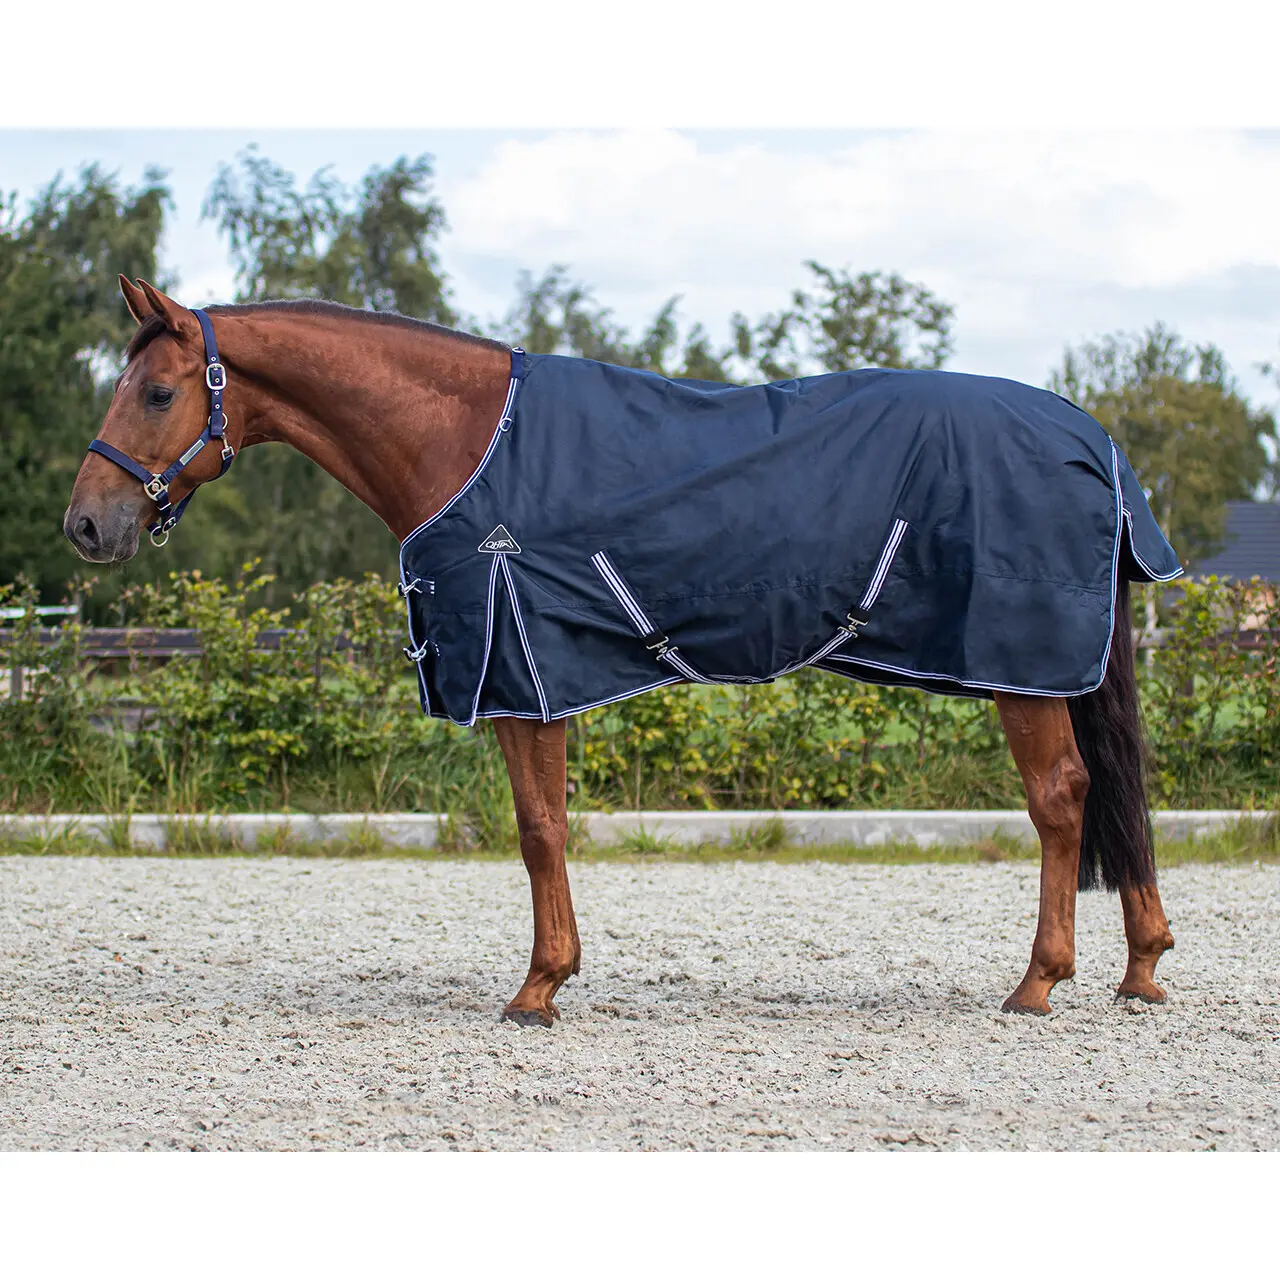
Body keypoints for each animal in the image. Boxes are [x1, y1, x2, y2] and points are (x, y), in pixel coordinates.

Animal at [63, 276, 1177, 1027]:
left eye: (156, 393)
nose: (85, 525)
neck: (462, 439)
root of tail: (1091, 437)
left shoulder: (521, 668)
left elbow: (538, 828)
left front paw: (538, 986)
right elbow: (543, 826)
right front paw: (551, 974)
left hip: (1020, 664)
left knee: (1061, 797)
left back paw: (1039, 981)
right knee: (1112, 795)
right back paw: (1141, 967)